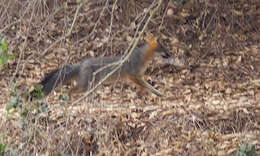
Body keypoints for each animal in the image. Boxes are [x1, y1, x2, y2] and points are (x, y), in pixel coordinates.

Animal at [32, 36, 171, 98]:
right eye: (164, 49)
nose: (171, 54)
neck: (142, 57)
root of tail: (81, 63)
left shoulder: (138, 77)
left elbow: (144, 87)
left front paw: (142, 95)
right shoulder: (133, 76)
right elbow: (148, 86)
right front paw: (159, 93)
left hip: (93, 85)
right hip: (86, 85)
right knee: (70, 90)